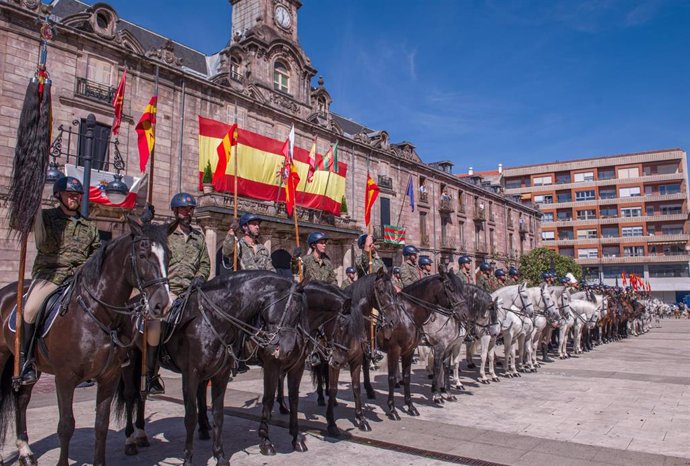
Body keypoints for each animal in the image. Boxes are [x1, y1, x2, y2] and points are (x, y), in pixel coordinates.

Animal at [0, 218, 171, 466]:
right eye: (142, 254)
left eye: (168, 255)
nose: (162, 304)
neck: (97, 313)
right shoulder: (65, 377)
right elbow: (66, 425)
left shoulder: (110, 375)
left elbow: (102, 424)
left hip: (34, 367)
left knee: (22, 398)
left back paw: (25, 451)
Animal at [117, 270, 306, 466]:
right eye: (292, 309)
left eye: (300, 313)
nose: (287, 349)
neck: (214, 318)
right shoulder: (191, 375)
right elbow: (190, 417)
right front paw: (188, 459)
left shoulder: (221, 374)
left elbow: (218, 414)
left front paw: (220, 455)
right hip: (130, 359)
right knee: (130, 395)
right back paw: (130, 440)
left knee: (142, 395)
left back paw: (143, 433)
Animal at [360, 270, 494, 418]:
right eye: (450, 288)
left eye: (461, 290)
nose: (491, 331)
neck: (407, 315)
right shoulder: (436, 347)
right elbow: (437, 368)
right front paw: (437, 394)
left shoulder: (446, 346)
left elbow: (446, 367)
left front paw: (447, 392)